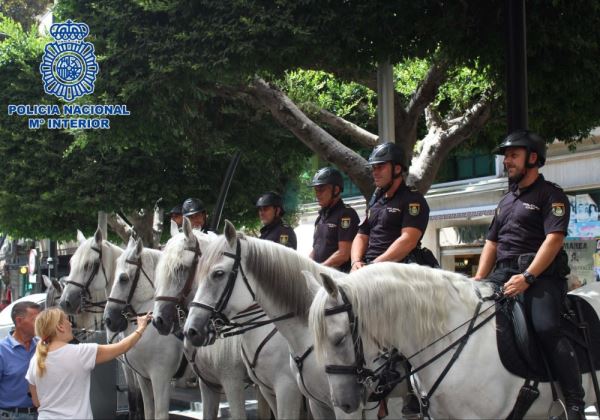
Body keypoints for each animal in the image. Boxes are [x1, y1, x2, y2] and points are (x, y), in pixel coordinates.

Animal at [103, 238, 183, 418]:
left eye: (123, 278)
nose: (108, 320)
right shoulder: (143, 377)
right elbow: (147, 410)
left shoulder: (160, 377)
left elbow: (160, 414)